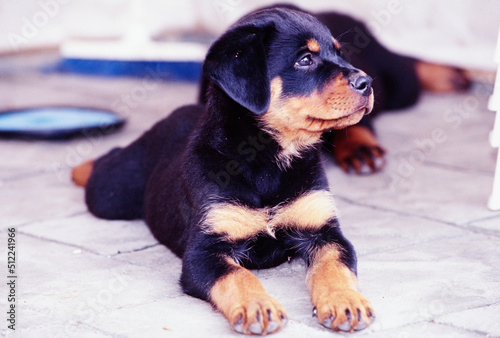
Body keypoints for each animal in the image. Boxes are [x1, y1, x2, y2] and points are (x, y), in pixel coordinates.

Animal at [73, 7, 376, 336]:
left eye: (339, 52)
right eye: (305, 59)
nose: (367, 81)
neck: (268, 161)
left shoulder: (325, 231)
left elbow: (335, 266)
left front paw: (345, 301)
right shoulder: (204, 252)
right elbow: (238, 276)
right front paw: (258, 306)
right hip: (111, 194)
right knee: (108, 164)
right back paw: (80, 167)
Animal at [200, 4, 472, 174]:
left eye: (340, 54)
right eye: (305, 60)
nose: (366, 83)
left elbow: (352, 123)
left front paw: (361, 148)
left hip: (398, 86)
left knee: (407, 64)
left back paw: (452, 75)